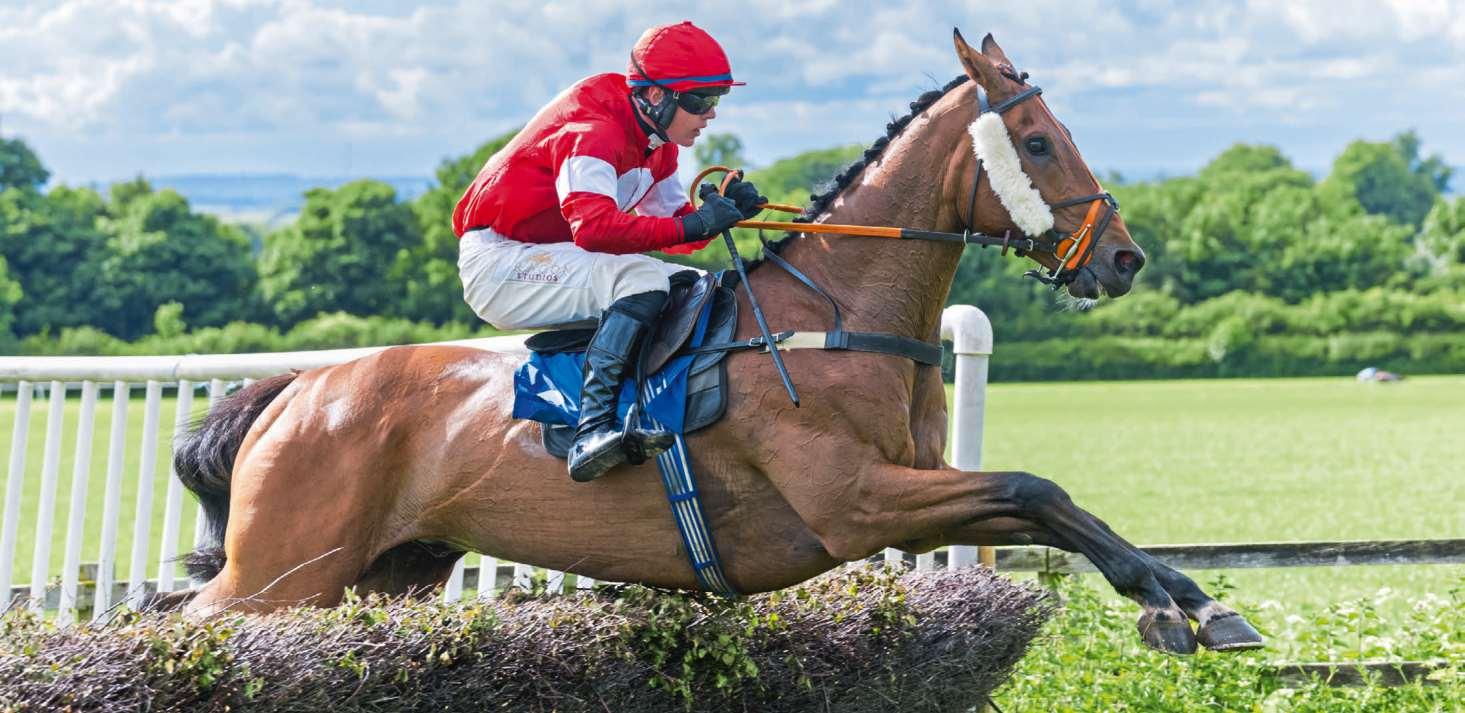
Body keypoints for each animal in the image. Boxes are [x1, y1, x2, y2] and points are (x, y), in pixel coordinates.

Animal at [170, 30, 1263, 655]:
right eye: (1037, 142)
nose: (1122, 258)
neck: (840, 312)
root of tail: (293, 390)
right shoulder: (856, 504)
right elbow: (1035, 487)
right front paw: (1174, 604)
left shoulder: (913, 500)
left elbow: (1052, 504)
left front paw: (1195, 604)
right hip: (280, 573)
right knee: (188, 620)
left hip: (384, 570)